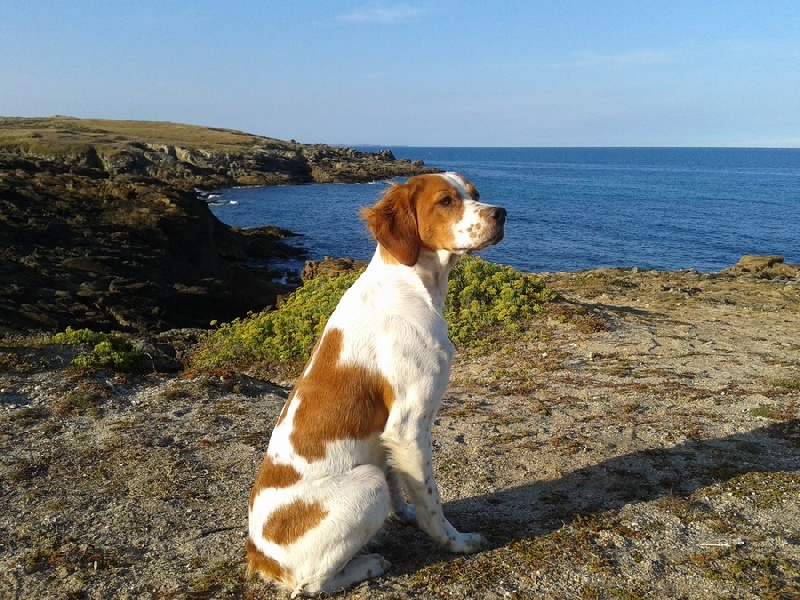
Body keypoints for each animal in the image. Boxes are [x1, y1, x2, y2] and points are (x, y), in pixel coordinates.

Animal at [245, 172, 506, 596]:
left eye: (475, 194)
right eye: (446, 201)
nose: (502, 214)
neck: (411, 286)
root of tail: (258, 554)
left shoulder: (389, 435)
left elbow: (401, 482)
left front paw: (404, 516)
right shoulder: (409, 425)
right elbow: (431, 502)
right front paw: (457, 542)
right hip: (366, 484)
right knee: (310, 584)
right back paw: (368, 564)